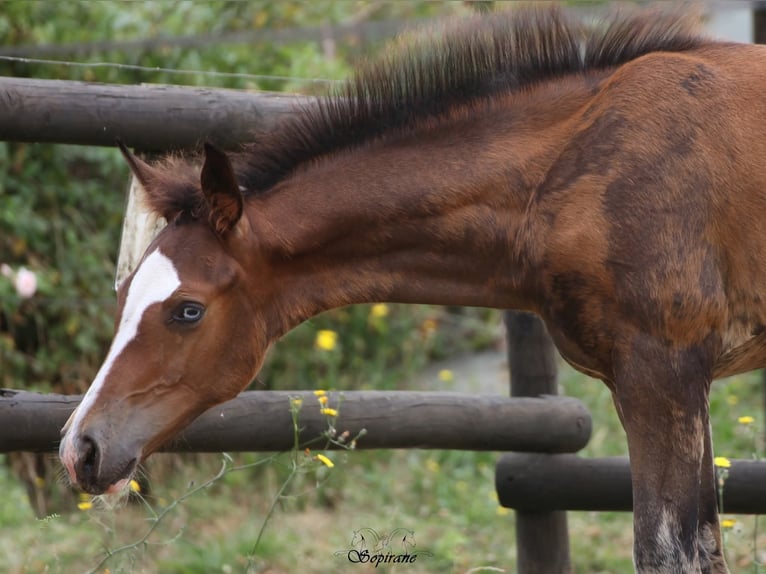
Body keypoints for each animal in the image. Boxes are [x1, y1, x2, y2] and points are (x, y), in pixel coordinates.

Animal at [57, 4, 766, 572]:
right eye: (123, 297)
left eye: (188, 310)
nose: (79, 448)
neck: (574, 164)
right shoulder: (675, 383)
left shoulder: (662, 373)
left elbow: (669, 553)